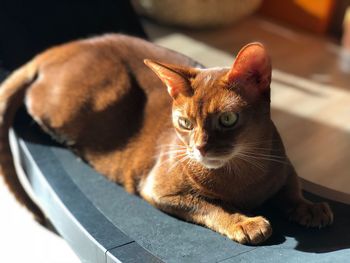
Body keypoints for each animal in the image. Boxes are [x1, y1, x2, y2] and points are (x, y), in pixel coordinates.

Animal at [0, 34, 334, 245]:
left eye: (228, 119)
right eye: (184, 123)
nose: (199, 148)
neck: (243, 174)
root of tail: (60, 48)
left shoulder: (284, 164)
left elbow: (291, 188)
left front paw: (308, 206)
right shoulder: (159, 190)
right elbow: (210, 206)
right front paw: (243, 222)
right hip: (103, 92)